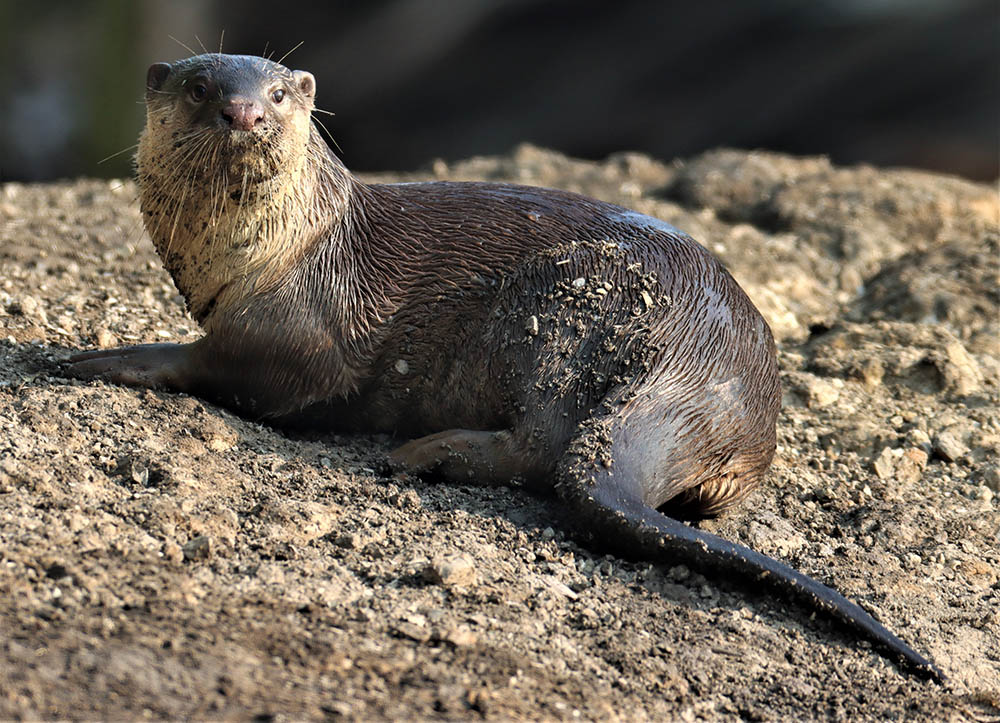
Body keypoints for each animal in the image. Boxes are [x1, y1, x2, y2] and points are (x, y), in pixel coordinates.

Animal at [70, 53, 944, 680]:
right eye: (200, 87)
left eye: (280, 93)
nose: (243, 112)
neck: (285, 246)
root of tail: (714, 362)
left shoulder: (303, 327)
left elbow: (233, 367)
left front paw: (103, 355)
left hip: (562, 305)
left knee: (545, 446)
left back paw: (419, 454)